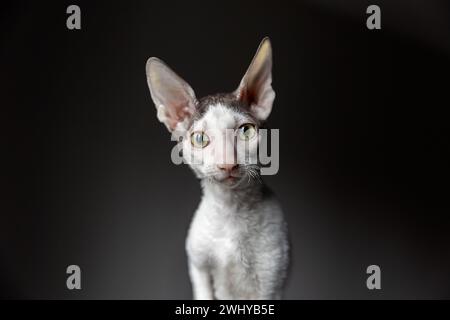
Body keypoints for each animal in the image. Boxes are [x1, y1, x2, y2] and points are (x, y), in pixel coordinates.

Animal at [146, 38, 290, 300]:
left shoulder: (271, 280)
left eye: (246, 131)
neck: (231, 208)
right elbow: (203, 292)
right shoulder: (198, 266)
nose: (228, 163)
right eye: (200, 139)